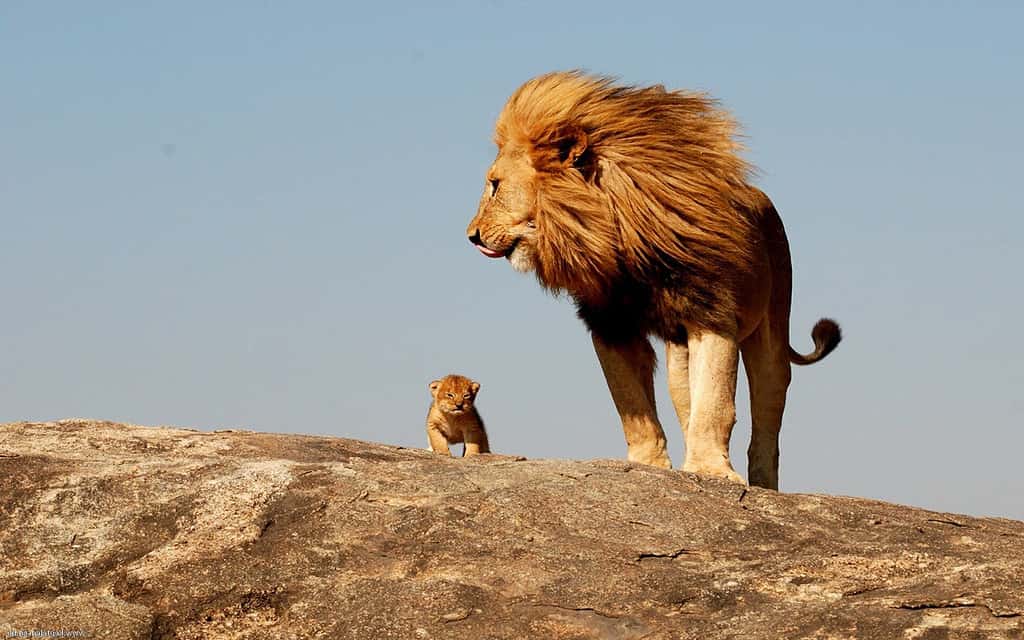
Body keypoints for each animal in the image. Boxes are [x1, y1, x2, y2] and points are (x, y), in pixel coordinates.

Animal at [466, 71, 840, 489]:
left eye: (495, 185)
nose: (472, 236)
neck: (617, 237)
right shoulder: (610, 324)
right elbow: (632, 406)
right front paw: (651, 467)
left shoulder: (712, 314)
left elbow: (715, 403)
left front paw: (712, 471)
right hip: (679, 355)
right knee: (685, 400)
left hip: (771, 330)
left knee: (767, 410)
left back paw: (761, 483)